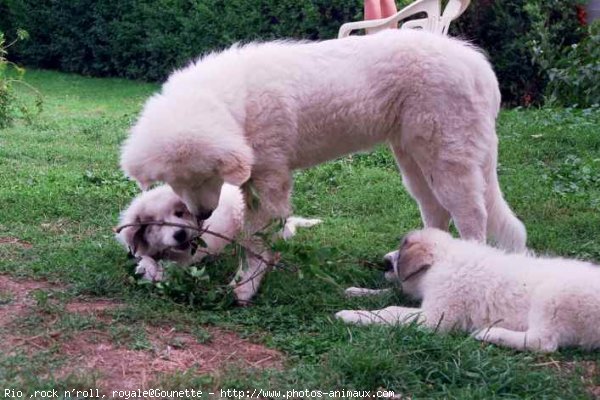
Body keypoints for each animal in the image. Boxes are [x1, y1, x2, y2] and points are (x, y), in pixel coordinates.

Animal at [120, 28, 524, 304]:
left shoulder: (268, 180)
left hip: (448, 157)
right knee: (435, 210)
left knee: (471, 215)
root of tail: (476, 63)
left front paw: (245, 287)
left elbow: (254, 239)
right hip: (414, 161)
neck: (235, 105)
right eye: (176, 182)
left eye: (208, 176)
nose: (202, 216)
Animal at [336, 228, 600, 354]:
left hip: (552, 298)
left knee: (544, 342)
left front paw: (350, 315)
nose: (383, 261)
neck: (443, 260)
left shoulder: (436, 317)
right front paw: (357, 292)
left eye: (401, 252)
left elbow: (391, 311)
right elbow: (391, 295)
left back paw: (489, 334)